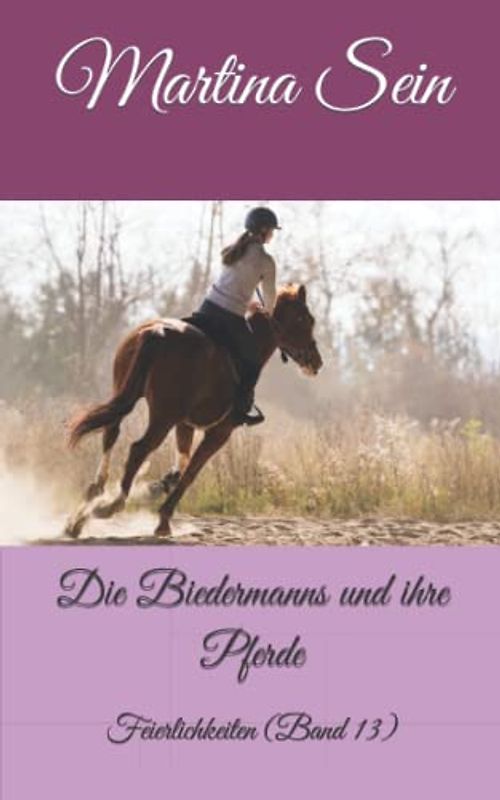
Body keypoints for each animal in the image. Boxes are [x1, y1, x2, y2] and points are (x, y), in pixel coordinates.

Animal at [65, 284, 323, 538]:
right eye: (304, 319)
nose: (317, 362)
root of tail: (158, 332)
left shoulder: (184, 423)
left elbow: (183, 461)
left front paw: (158, 487)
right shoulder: (220, 432)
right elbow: (191, 472)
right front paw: (163, 519)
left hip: (126, 394)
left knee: (111, 432)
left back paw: (85, 509)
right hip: (163, 416)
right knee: (139, 448)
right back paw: (110, 505)